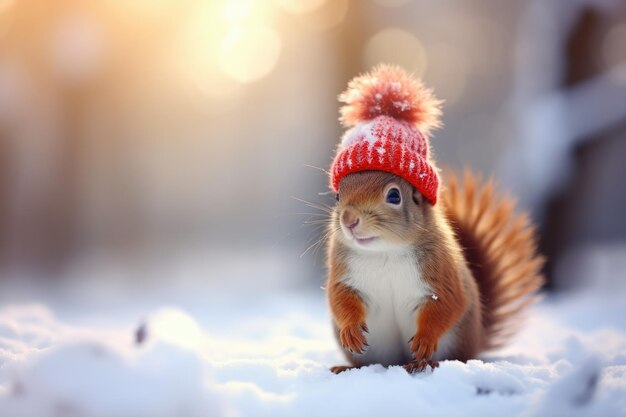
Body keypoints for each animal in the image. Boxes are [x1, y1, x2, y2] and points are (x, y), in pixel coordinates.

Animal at [322, 66, 540, 374]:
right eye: (337, 196)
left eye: (394, 196)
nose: (349, 220)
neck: (385, 252)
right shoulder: (344, 272)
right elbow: (340, 298)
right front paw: (351, 329)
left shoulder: (442, 272)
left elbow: (446, 304)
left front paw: (425, 340)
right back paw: (348, 368)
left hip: (456, 339)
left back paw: (427, 362)